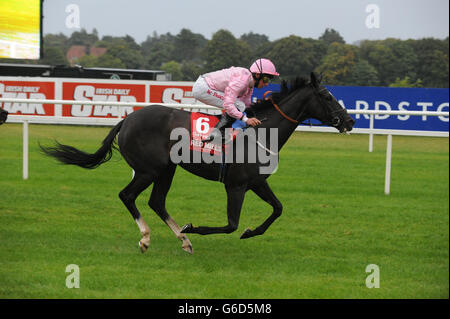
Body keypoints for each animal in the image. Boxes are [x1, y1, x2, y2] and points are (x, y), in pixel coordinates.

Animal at [39, 73, 356, 255]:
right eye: (326, 96)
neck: (261, 132)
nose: (351, 121)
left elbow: (277, 209)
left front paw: (251, 231)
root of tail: (126, 119)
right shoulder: (236, 185)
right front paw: (193, 227)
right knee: (127, 195)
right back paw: (149, 238)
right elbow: (230, 225)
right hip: (149, 169)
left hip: (166, 169)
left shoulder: (256, 182)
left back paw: (183, 241)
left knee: (156, 202)